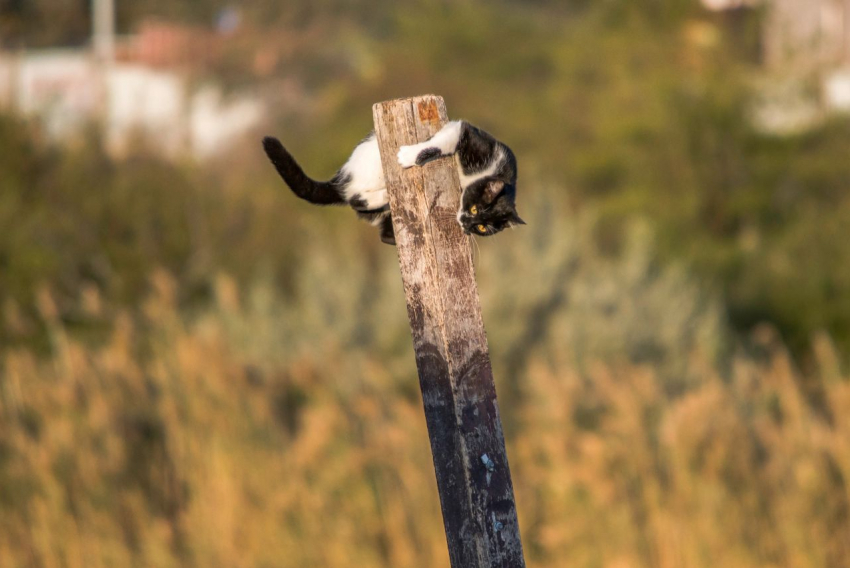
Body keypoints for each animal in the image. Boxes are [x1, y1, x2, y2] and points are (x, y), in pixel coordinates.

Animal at [262, 120, 520, 244]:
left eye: (482, 227)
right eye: (475, 209)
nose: (468, 223)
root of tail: (340, 179)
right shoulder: (467, 134)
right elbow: (440, 143)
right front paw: (409, 155)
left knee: (372, 220)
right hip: (371, 163)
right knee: (355, 197)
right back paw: (385, 192)